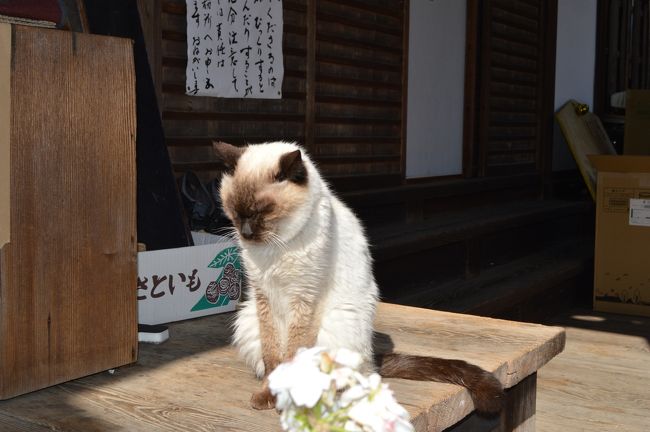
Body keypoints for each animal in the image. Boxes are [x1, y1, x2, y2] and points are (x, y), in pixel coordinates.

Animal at [213, 142, 502, 416]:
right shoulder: (264, 296)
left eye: (263, 211)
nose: (245, 233)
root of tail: (372, 359)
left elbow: (292, 355)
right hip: (248, 316)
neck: (276, 247)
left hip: (337, 326)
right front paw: (268, 395)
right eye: (235, 211)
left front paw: (285, 399)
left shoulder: (305, 298)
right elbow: (273, 358)